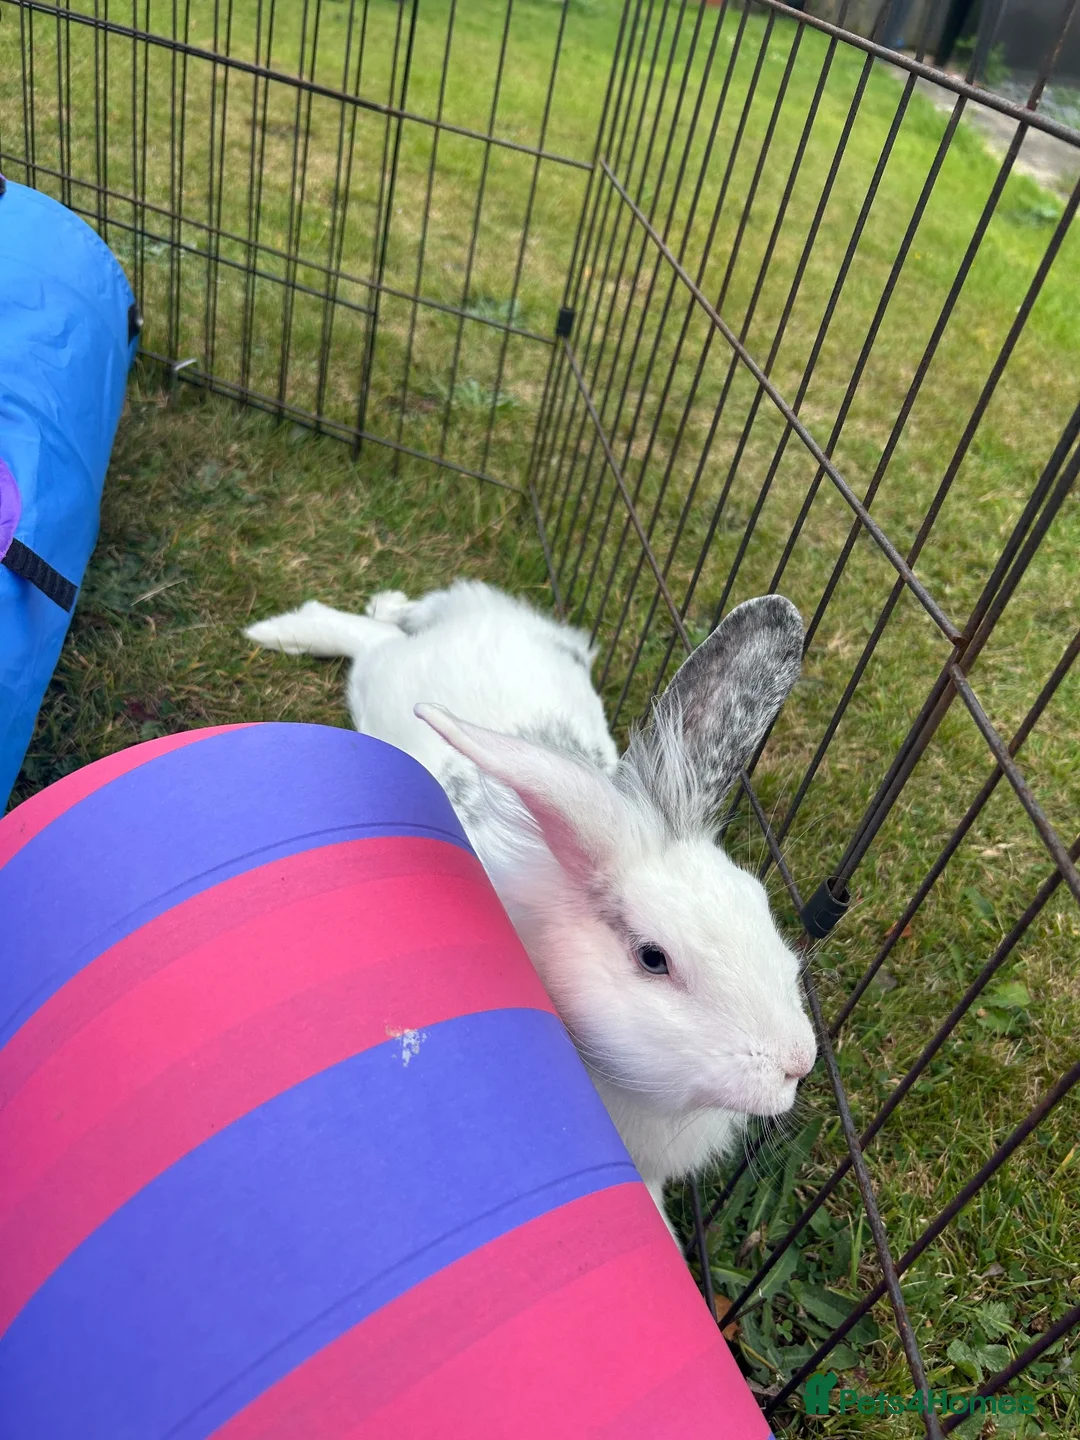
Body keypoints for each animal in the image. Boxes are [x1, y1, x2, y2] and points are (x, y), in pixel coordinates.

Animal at [245, 580, 817, 1243]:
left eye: (760, 904)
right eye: (654, 959)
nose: (799, 1063)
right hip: (383, 677)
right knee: (369, 640)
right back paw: (282, 631)